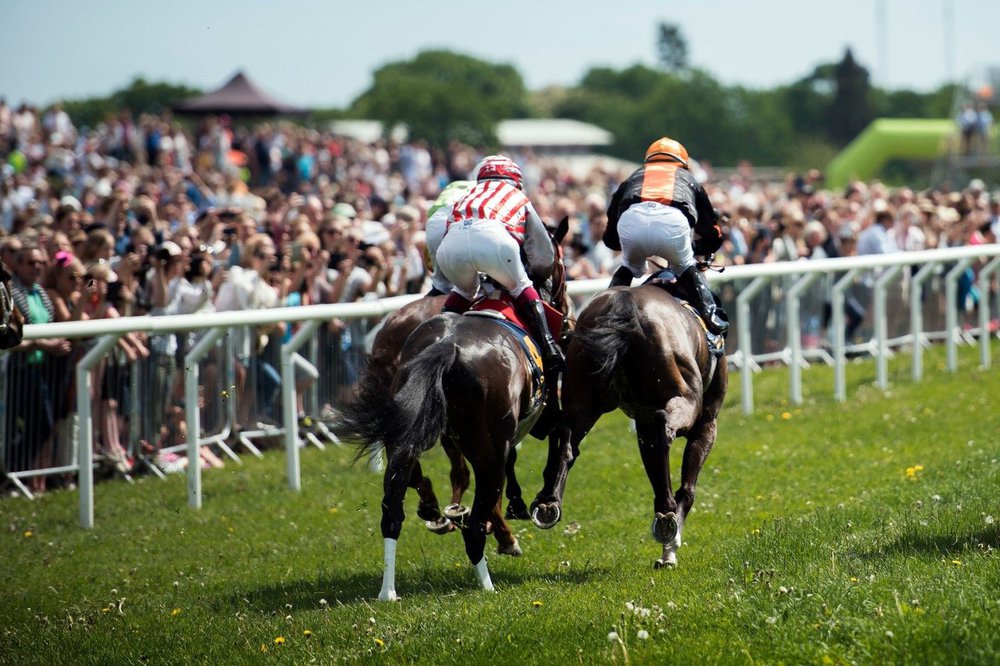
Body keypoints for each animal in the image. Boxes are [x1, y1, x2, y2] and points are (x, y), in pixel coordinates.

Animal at [532, 280, 728, 564]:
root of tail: (624, 305)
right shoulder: (707, 423)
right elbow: (687, 487)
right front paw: (670, 543)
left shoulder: (642, 425)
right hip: (685, 396)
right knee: (665, 429)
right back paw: (668, 515)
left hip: (582, 395)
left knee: (566, 436)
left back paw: (548, 501)